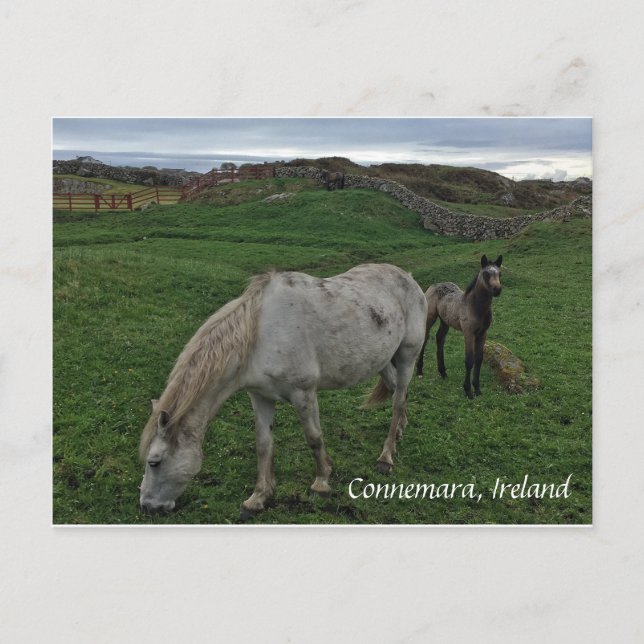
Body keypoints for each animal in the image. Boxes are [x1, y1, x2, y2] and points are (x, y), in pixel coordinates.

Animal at [139, 263, 428, 519]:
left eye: (154, 462)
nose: (147, 506)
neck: (260, 336)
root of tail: (409, 278)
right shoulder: (260, 397)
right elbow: (263, 445)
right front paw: (258, 498)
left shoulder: (304, 393)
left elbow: (314, 438)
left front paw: (321, 482)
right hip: (382, 362)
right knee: (396, 393)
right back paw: (400, 430)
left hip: (406, 357)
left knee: (398, 401)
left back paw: (386, 457)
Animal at [416, 255, 503, 399]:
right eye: (486, 274)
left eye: (500, 273)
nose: (497, 289)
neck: (475, 307)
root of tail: (435, 285)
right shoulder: (468, 333)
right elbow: (469, 360)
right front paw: (468, 391)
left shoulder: (482, 333)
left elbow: (479, 359)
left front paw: (477, 389)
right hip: (430, 317)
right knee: (425, 339)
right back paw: (419, 370)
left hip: (445, 321)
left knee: (440, 339)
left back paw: (443, 372)